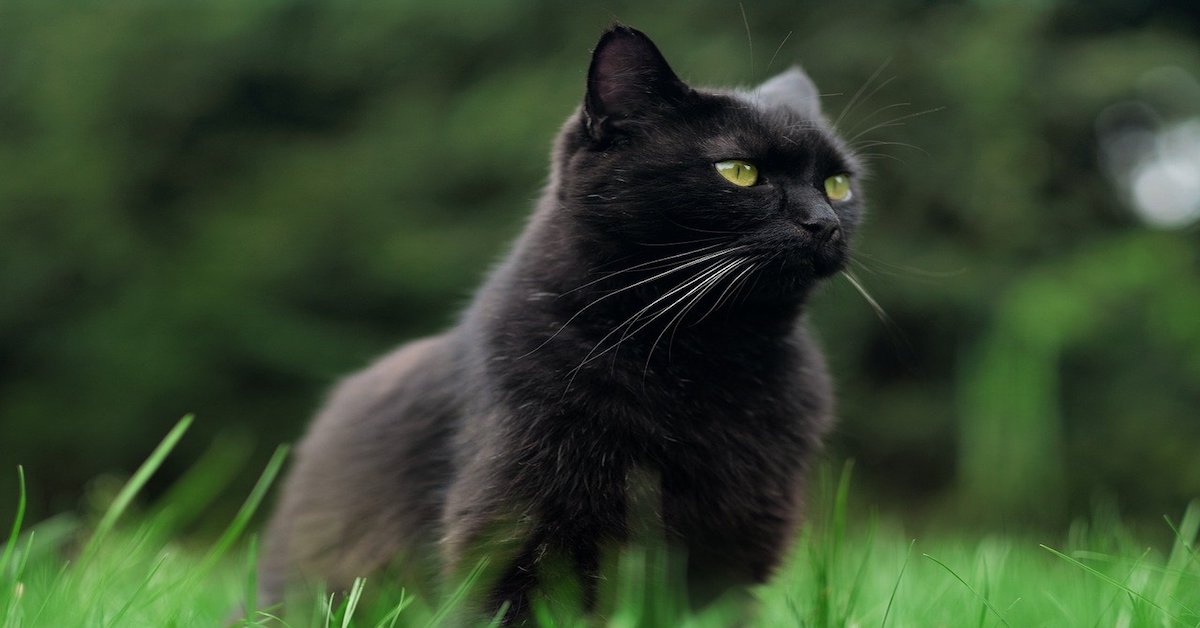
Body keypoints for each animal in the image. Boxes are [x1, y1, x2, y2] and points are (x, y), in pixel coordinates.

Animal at [260, 23, 864, 624]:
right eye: (739, 172)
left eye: (838, 184)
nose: (824, 223)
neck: (703, 356)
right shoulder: (521, 530)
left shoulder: (736, 540)